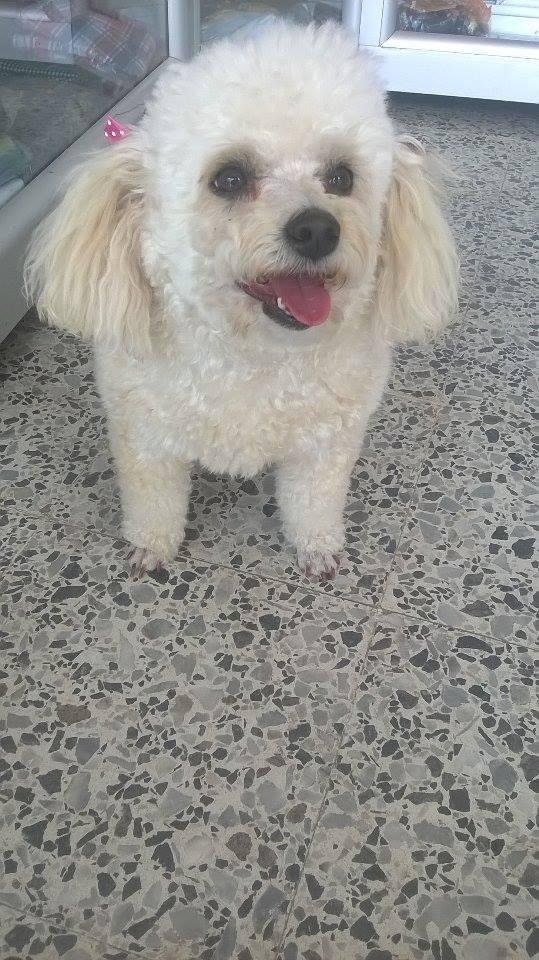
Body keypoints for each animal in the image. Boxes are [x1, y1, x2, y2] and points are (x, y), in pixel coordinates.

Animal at [25, 21, 458, 581]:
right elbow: (154, 502)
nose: (317, 229)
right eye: (229, 177)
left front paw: (317, 548)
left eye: (341, 177)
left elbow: (314, 503)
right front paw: (151, 546)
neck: (252, 355)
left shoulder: (325, 446)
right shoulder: (146, 439)